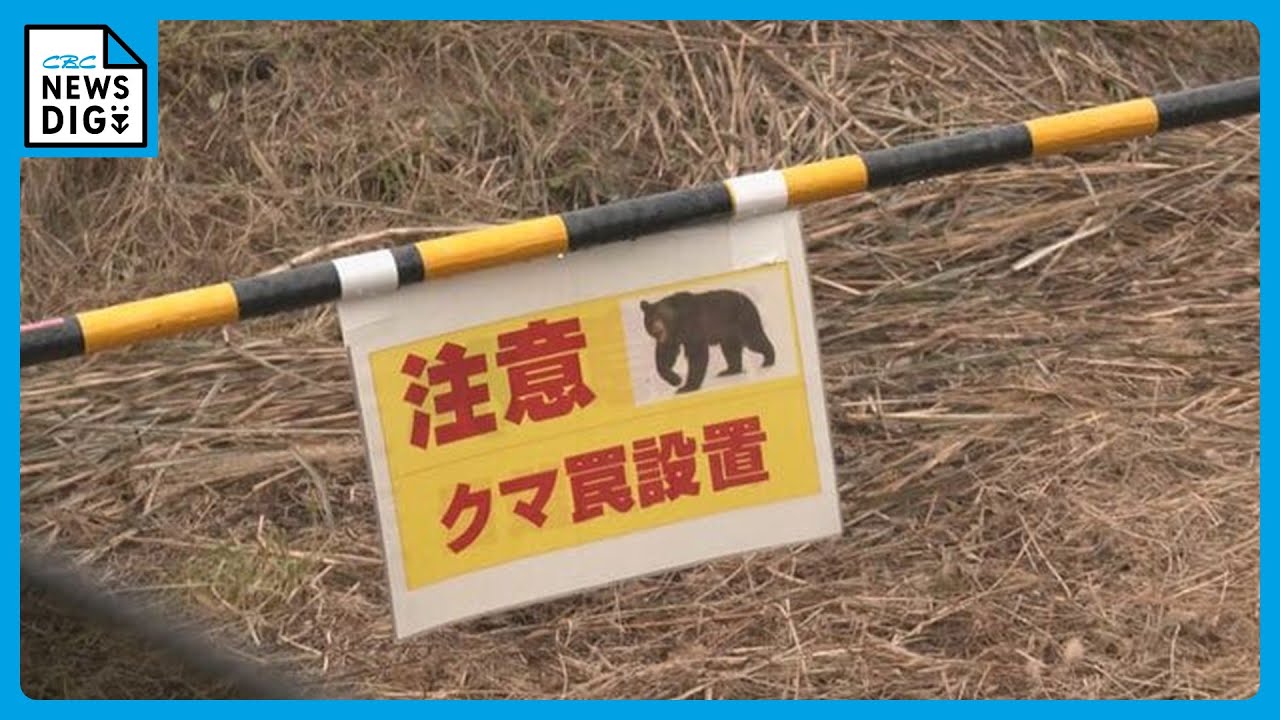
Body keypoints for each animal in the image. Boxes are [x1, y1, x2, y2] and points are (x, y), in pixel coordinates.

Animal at [639, 289, 776, 394]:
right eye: (650, 318)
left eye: (662, 315)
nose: (657, 329)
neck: (678, 323)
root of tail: (746, 297)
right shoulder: (672, 337)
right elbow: (666, 354)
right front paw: (676, 380)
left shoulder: (693, 325)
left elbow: (696, 354)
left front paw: (687, 387)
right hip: (728, 331)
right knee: (730, 349)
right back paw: (729, 370)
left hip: (743, 318)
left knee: (754, 339)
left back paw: (768, 360)